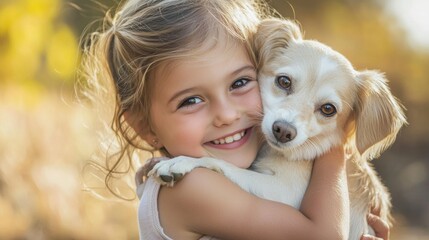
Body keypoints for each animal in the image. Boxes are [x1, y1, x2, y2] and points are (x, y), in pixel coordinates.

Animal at [149, 17, 406, 239]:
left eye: (328, 109)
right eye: (284, 81)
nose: (283, 130)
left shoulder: (284, 192)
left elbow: (222, 164)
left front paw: (183, 161)